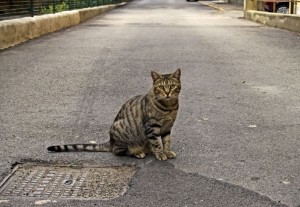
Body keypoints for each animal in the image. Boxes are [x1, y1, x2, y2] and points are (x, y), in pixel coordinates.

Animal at [48, 68, 182, 161]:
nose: (167, 93)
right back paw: (137, 152)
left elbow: (166, 141)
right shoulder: (152, 127)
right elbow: (157, 143)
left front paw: (167, 152)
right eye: (161, 87)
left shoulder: (167, 127)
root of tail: (110, 141)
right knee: (119, 151)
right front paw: (160, 154)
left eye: (172, 86)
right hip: (121, 130)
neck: (169, 107)